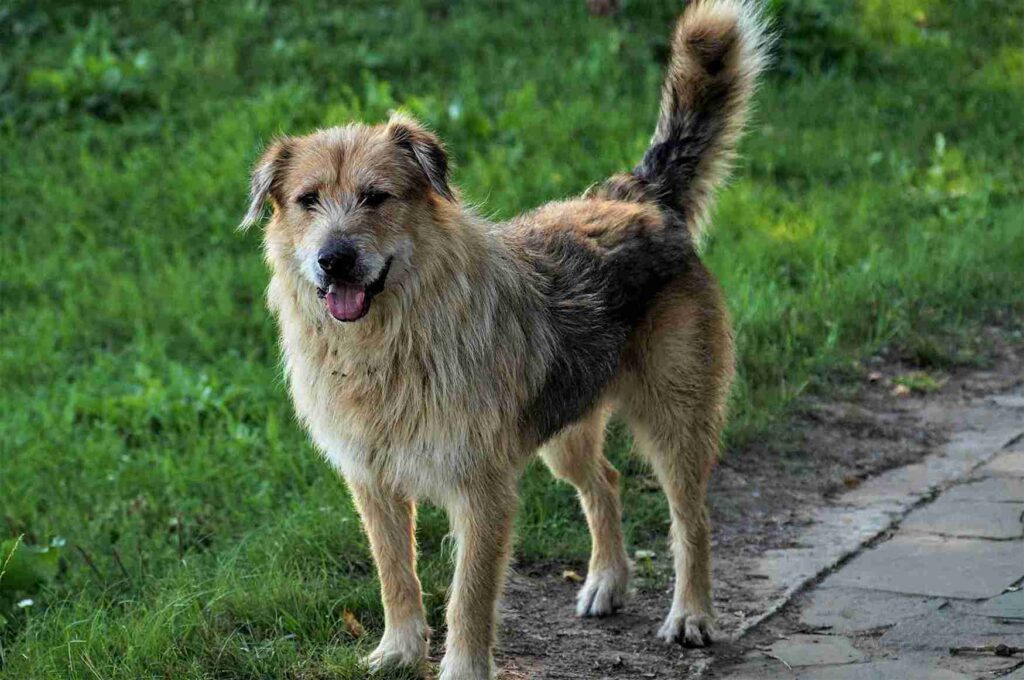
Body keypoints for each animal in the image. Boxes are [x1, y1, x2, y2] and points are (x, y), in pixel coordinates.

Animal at [239, 2, 770, 675]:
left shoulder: (482, 489)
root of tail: (638, 197)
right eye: (308, 200)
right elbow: (396, 575)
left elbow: (468, 596)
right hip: (564, 432)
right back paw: (606, 581)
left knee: (692, 517)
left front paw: (462, 667)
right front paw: (398, 651)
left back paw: (692, 614)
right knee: (605, 481)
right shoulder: (373, 482)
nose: (334, 260)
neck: (392, 343)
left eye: (376, 197)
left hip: (675, 417)